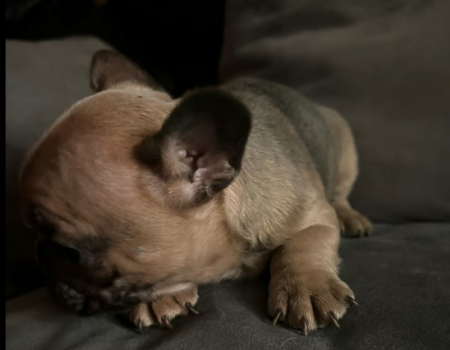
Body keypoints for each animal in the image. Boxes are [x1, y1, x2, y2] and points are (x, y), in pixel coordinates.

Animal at [18, 49, 370, 334]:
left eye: (67, 251)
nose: (37, 253)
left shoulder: (316, 215)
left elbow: (303, 244)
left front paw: (307, 287)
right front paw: (162, 297)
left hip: (346, 149)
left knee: (340, 195)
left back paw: (351, 218)